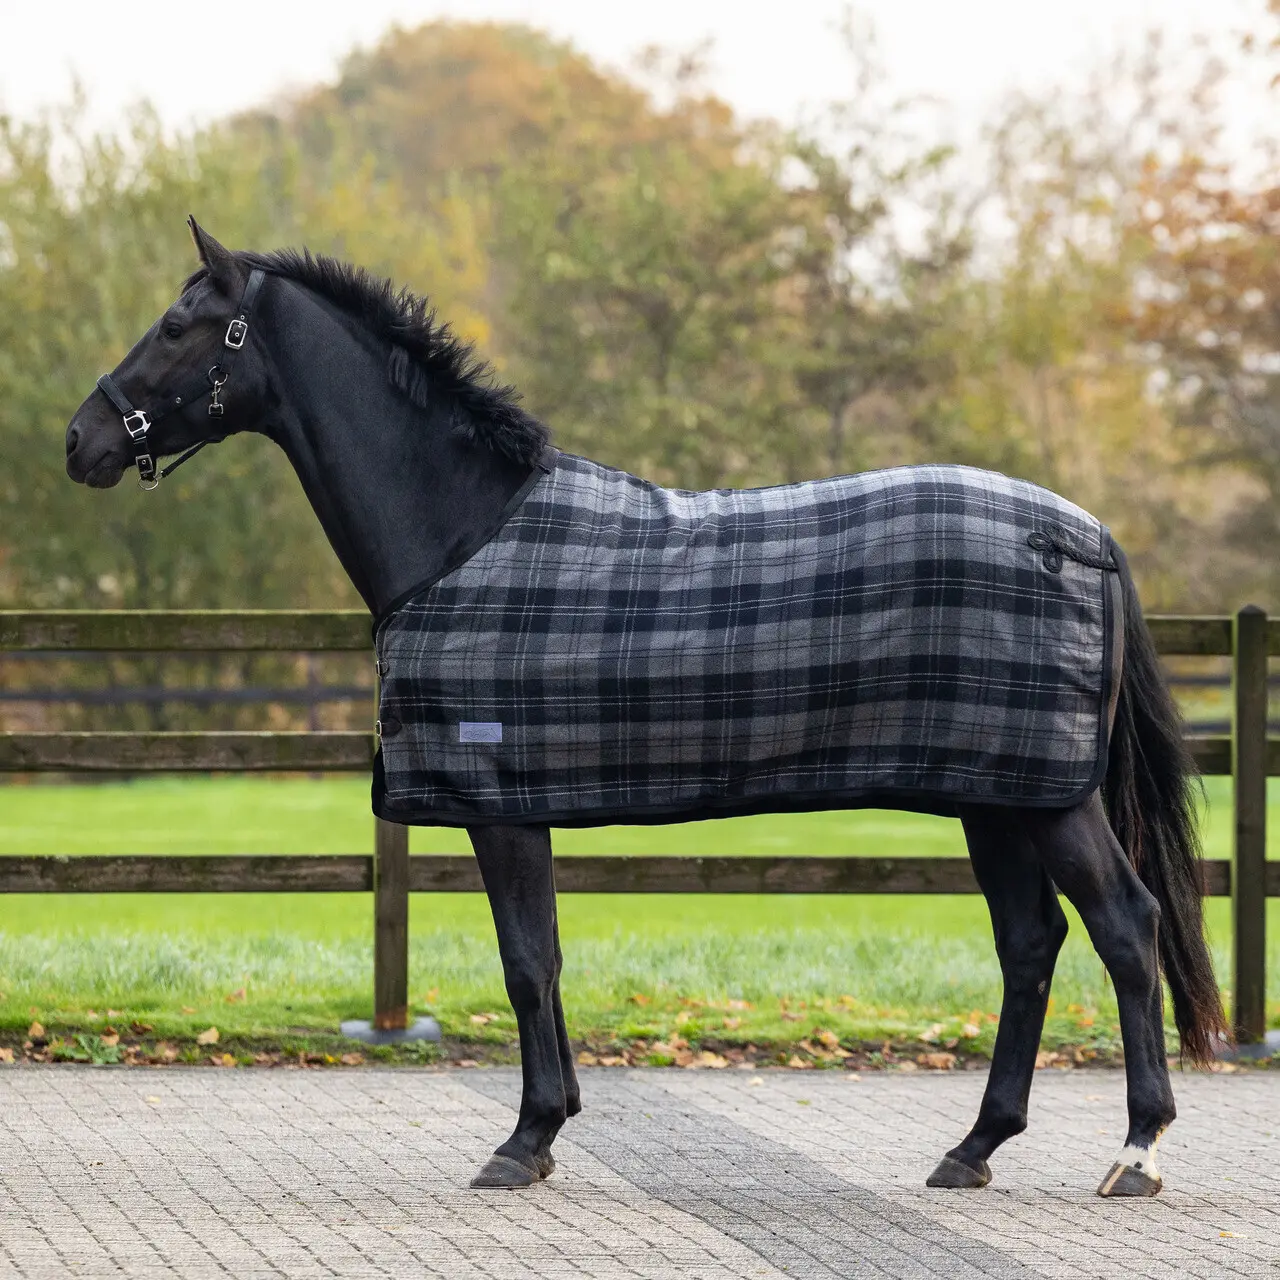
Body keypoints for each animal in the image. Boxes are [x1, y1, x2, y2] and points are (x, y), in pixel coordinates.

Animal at [64, 218, 1227, 1198]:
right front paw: (549, 1125)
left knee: (1124, 928)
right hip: (995, 795)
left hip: (1049, 799)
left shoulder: (498, 807)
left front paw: (524, 1138)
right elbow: (543, 958)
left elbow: (525, 963)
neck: (460, 532)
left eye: (178, 325)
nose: (81, 439)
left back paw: (1135, 1150)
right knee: (1030, 945)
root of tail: (1083, 532)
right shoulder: (521, 804)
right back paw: (973, 1147)